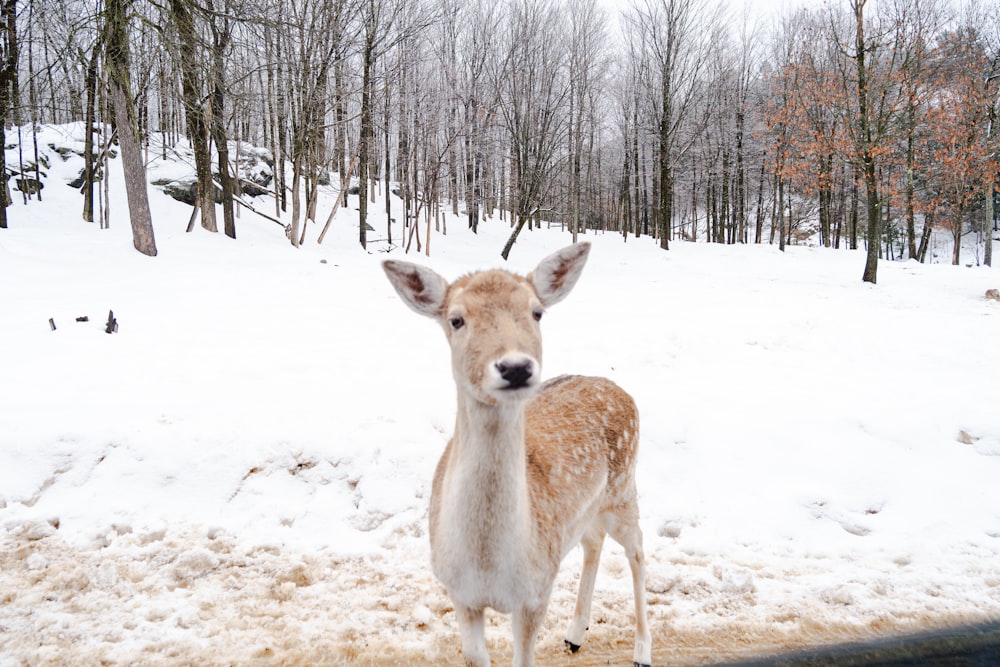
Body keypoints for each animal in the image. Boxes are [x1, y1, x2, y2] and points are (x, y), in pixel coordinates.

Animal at [378, 241, 652, 667]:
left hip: (624, 488)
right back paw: (574, 635)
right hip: (589, 510)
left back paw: (641, 650)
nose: (516, 367)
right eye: (456, 319)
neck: (490, 565)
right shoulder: (460, 594)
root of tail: (621, 390)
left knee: (637, 549)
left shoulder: (535, 593)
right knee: (593, 543)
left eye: (536, 311)